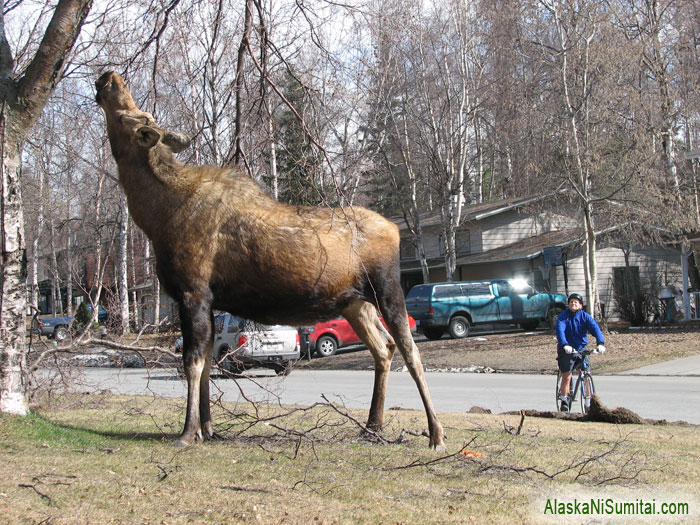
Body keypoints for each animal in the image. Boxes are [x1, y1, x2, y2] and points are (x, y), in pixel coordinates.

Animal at [95, 68, 446, 446]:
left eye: (128, 117)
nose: (109, 76)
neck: (155, 216)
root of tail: (395, 230)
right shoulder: (208, 300)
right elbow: (206, 364)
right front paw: (208, 428)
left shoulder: (193, 292)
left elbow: (192, 362)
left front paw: (188, 432)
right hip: (355, 303)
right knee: (383, 348)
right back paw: (372, 425)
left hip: (387, 289)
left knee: (410, 350)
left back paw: (435, 433)